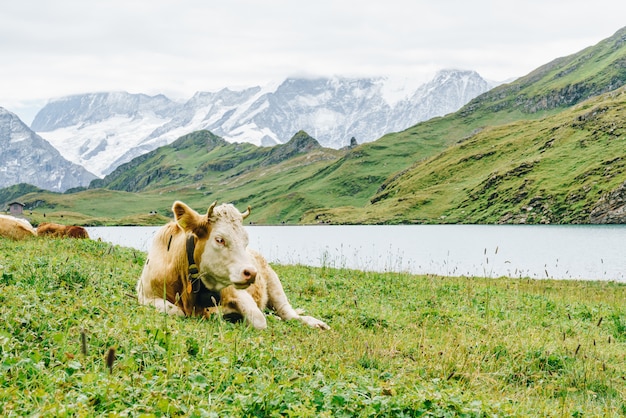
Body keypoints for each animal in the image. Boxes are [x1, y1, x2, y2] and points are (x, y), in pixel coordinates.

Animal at [136, 201, 330, 332]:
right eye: (220, 239)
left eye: (245, 239)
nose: (252, 273)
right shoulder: (146, 296)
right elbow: (176, 311)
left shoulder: (238, 292)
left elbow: (259, 320)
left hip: (274, 283)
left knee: (288, 313)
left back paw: (315, 323)